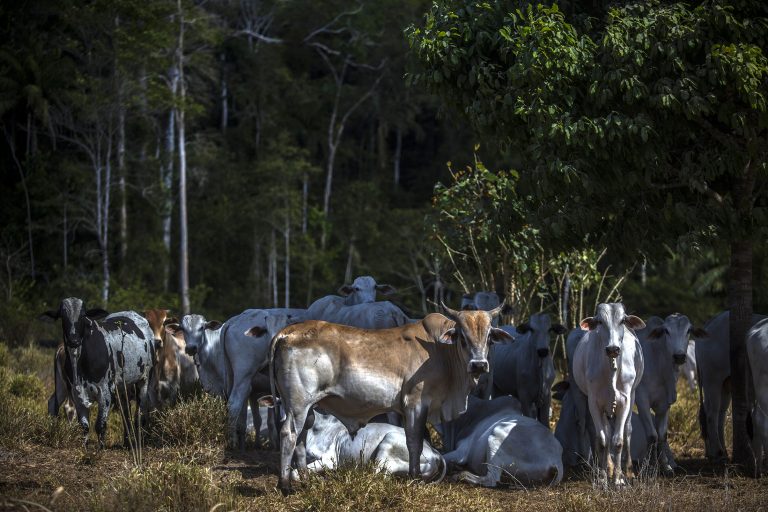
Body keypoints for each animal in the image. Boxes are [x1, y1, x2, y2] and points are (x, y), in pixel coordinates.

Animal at [41, 300, 154, 448]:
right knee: (125, 411)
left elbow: (100, 425)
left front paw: (101, 448)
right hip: (68, 385)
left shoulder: (104, 392)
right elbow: (84, 426)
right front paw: (84, 445)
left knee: (140, 413)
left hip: (144, 379)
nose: (74, 341)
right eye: (62, 316)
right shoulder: (76, 392)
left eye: (83, 315)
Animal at [268, 302, 512, 494]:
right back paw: (285, 486)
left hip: (306, 406)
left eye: (489, 337)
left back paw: (305, 481)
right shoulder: (415, 404)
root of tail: (287, 332)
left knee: (301, 437)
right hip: (298, 403)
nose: (478, 365)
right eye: (462, 337)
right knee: (289, 433)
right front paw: (414, 477)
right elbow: (414, 442)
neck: (440, 351)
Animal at [572, 304, 644, 488]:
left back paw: (628, 471)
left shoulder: (625, 400)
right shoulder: (594, 402)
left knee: (627, 431)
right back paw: (609, 468)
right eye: (600, 322)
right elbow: (603, 440)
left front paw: (618, 480)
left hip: (633, 395)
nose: (612, 349)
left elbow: (618, 441)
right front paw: (603, 478)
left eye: (622, 320)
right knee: (605, 431)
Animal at [632, 314, 704, 474]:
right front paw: (648, 466)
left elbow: (662, 434)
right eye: (666, 331)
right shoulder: (642, 399)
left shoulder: (665, 403)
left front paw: (665, 465)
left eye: (689, 330)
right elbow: (652, 435)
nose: (679, 356)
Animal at [692, 310, 764, 462]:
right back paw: (717, 451)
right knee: (711, 413)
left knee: (720, 413)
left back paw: (719, 451)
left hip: (725, 384)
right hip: (712, 380)